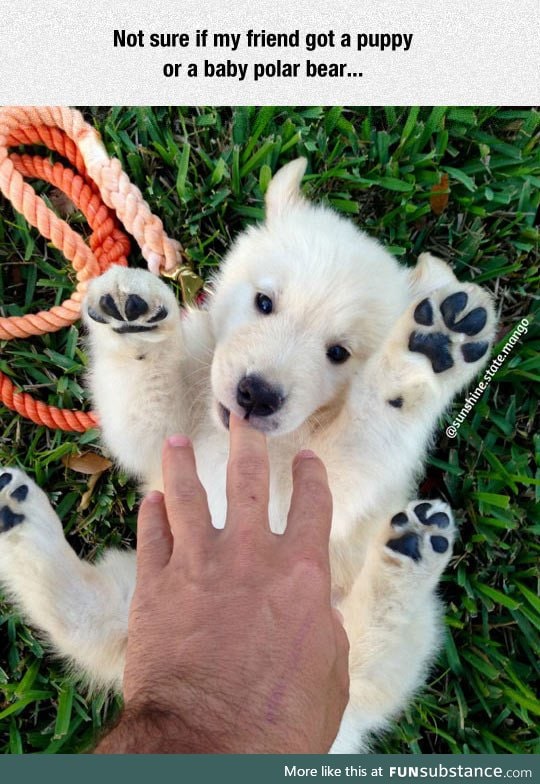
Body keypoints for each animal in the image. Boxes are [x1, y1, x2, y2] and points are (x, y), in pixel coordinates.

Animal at [0, 156, 496, 752]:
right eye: (264, 303)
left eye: (339, 353)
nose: (256, 394)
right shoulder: (166, 438)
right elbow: (142, 400)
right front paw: (133, 318)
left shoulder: (313, 490)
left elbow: (368, 427)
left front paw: (417, 365)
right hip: (143, 594)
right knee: (80, 615)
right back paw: (17, 516)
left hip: (368, 649)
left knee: (376, 642)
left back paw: (412, 547)